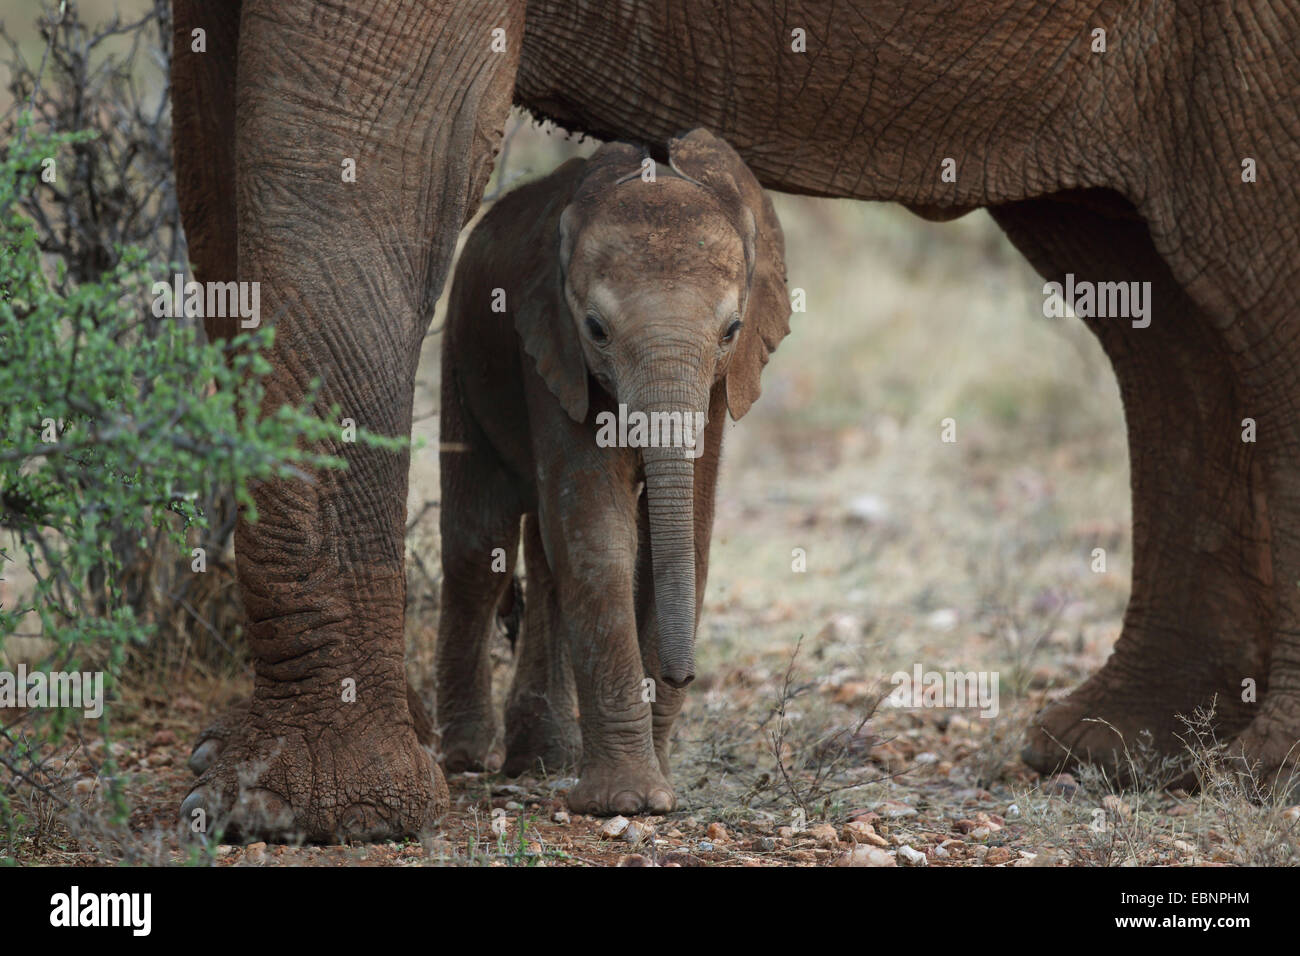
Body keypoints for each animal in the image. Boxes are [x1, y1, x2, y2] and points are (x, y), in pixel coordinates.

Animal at [436, 127, 785, 816]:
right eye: (596, 329)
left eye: (732, 329)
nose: (682, 673)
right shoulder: (549, 346)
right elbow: (600, 534)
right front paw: (628, 802)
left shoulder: (717, 386)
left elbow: (686, 536)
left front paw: (660, 786)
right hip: (461, 352)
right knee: (480, 542)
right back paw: (466, 758)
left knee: (543, 557)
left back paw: (544, 758)